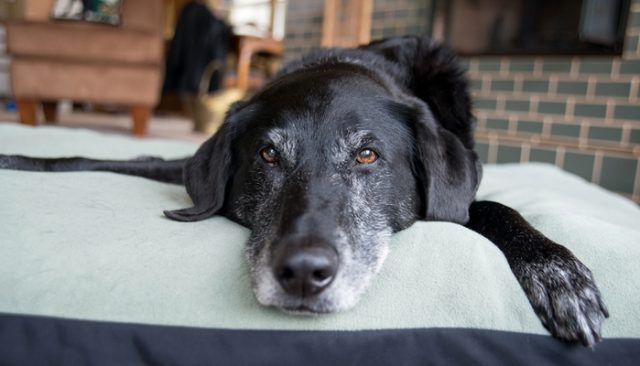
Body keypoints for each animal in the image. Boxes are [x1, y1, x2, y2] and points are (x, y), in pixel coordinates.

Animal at [1, 36, 608, 346]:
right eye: (268, 155)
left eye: (367, 156)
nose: (303, 274)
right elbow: (96, 157)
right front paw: (19, 158)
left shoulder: (463, 198)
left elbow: (493, 207)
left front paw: (557, 271)